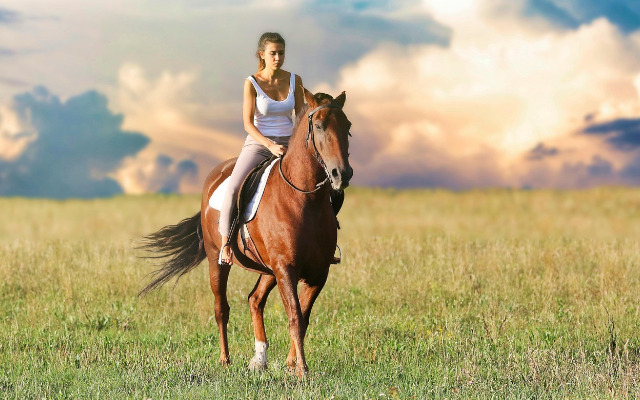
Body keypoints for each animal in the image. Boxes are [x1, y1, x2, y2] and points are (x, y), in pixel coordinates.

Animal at [138, 88, 353, 377]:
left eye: (347, 126)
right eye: (318, 126)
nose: (342, 174)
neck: (303, 199)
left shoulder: (318, 272)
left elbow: (303, 317)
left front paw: (291, 364)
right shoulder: (286, 269)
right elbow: (295, 316)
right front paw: (302, 370)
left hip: (268, 269)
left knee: (254, 300)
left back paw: (259, 359)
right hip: (218, 260)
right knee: (221, 308)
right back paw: (225, 359)